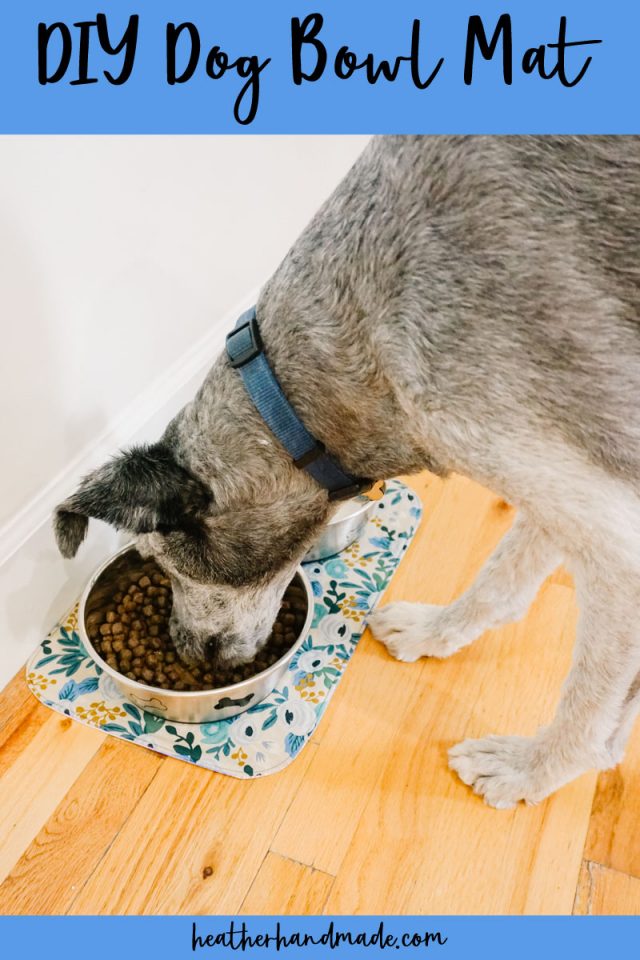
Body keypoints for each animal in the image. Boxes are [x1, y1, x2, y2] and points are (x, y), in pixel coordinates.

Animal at [52, 137, 640, 808]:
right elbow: (501, 581)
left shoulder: (614, 539)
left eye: (165, 563)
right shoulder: (569, 481)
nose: (185, 651)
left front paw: (532, 770)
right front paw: (437, 632)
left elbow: (590, 707)